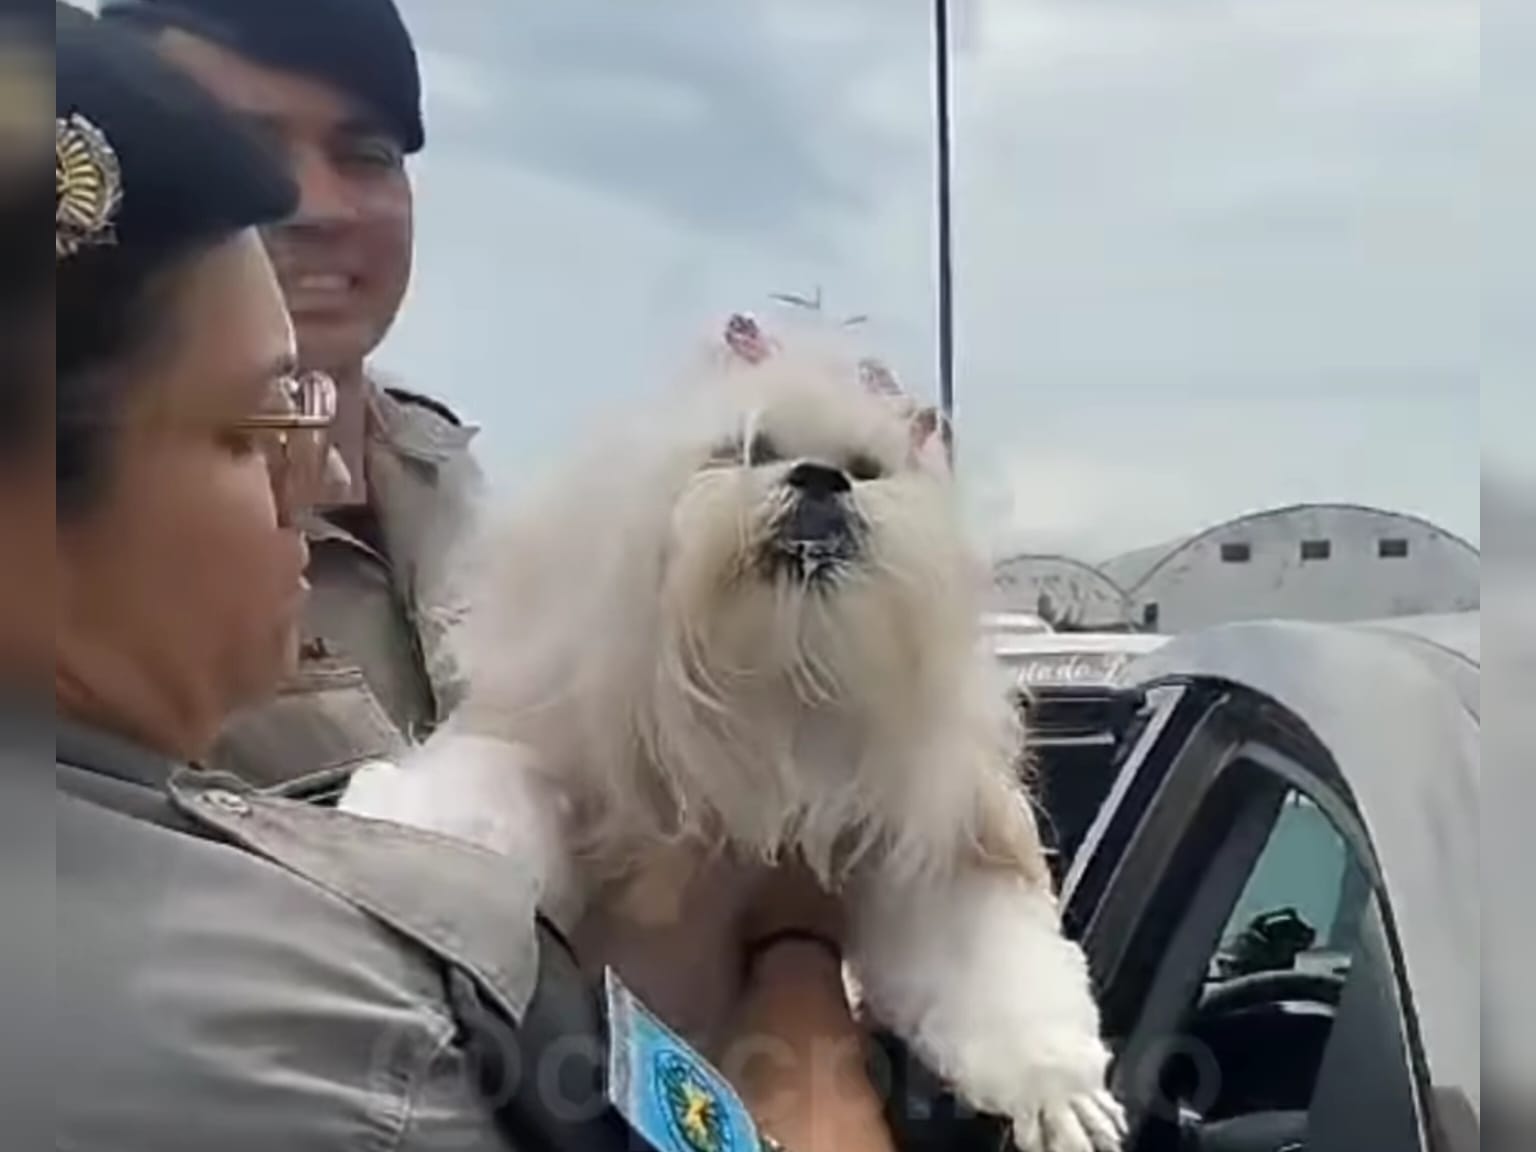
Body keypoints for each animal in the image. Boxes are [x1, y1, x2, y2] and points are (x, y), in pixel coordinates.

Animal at [342, 333, 1124, 1152]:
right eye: (748, 450)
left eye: (867, 467)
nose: (822, 478)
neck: (769, 688)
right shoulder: (556, 740)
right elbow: (484, 798)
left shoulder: (932, 858)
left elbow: (994, 965)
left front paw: (1057, 1087)